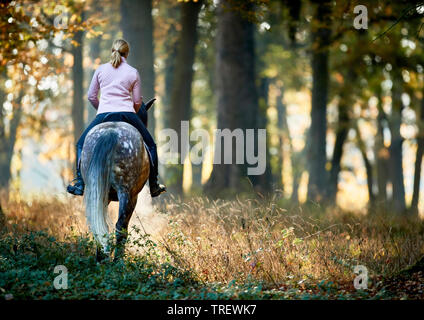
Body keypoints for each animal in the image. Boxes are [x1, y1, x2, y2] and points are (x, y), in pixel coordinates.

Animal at [80, 121, 150, 262]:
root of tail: (110, 132)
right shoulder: (133, 197)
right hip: (125, 192)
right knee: (120, 227)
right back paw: (118, 262)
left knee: (99, 225)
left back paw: (101, 259)